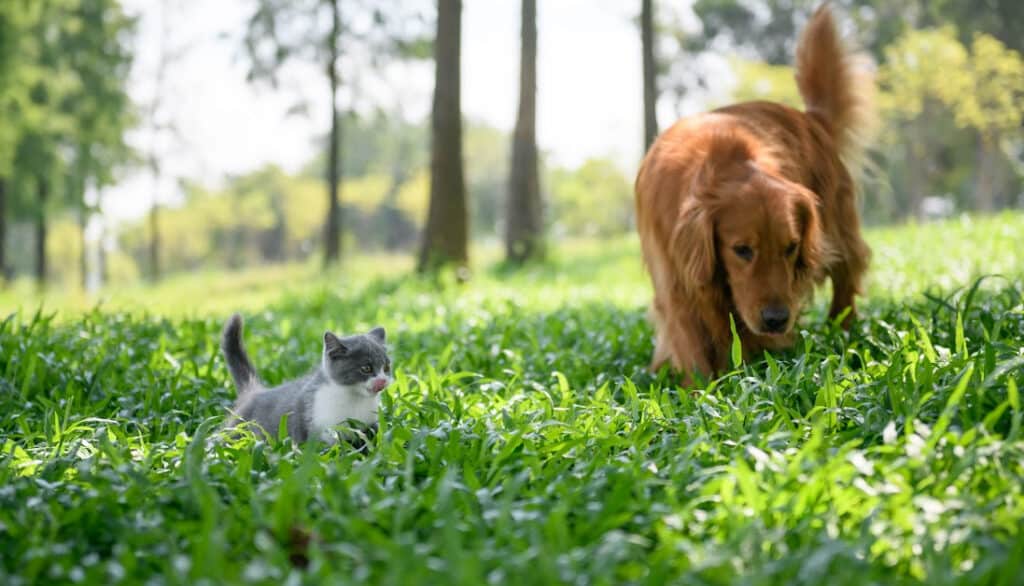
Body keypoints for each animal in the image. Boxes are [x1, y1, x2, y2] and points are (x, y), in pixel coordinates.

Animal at [220, 313, 391, 442]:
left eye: (386, 367)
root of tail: (254, 392)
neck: (354, 398)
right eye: (366, 368)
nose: (382, 380)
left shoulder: (370, 425)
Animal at [634, 5, 876, 385]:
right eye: (742, 250)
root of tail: (811, 118)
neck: (718, 161)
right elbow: (690, 341)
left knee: (847, 276)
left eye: (791, 247)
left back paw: (843, 332)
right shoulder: (676, 283)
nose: (777, 320)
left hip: (839, 231)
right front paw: (701, 390)